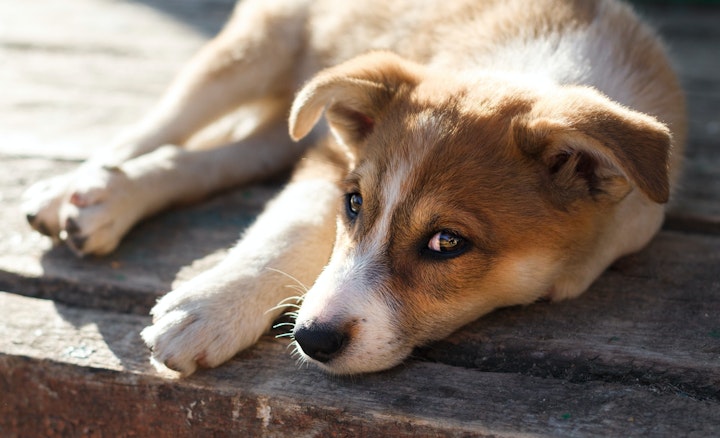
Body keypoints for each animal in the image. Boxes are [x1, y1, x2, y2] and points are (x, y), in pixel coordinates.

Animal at [22, 0, 688, 376]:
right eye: (354, 204)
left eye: (447, 242)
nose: (311, 340)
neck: (539, 68)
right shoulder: (328, 163)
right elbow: (286, 233)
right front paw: (209, 308)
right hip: (261, 47)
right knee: (153, 128)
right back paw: (80, 194)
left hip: (288, 120)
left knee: (223, 156)